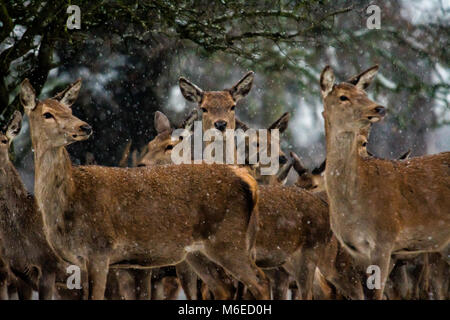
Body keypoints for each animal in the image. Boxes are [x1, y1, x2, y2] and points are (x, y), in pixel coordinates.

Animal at [19, 79, 268, 298]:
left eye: (69, 110)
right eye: (47, 113)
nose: (85, 127)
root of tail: (247, 179)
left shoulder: (99, 249)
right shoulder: (83, 260)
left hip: (228, 240)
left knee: (260, 282)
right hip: (199, 252)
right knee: (224, 288)